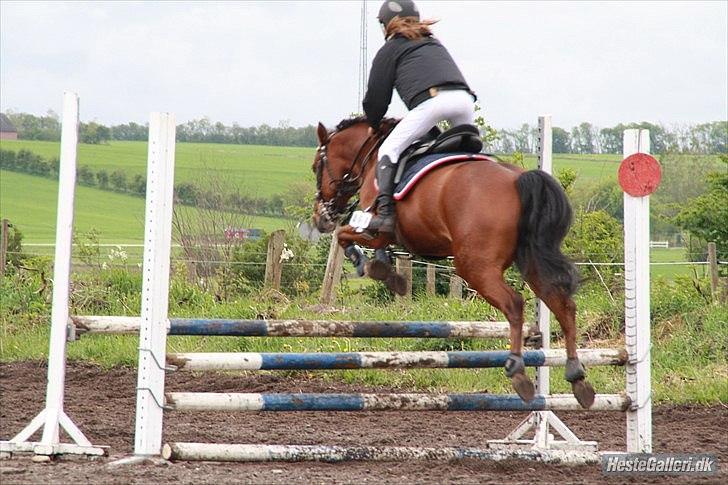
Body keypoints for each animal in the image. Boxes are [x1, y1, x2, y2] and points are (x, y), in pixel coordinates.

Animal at [311, 116, 595, 408]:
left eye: (316, 166)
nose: (321, 217)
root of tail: (519, 179)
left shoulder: (375, 228)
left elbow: (344, 236)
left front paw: (366, 265)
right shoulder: (384, 235)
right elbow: (369, 247)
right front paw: (387, 272)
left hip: (475, 266)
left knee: (515, 303)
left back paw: (518, 371)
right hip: (531, 261)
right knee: (563, 305)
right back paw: (577, 376)